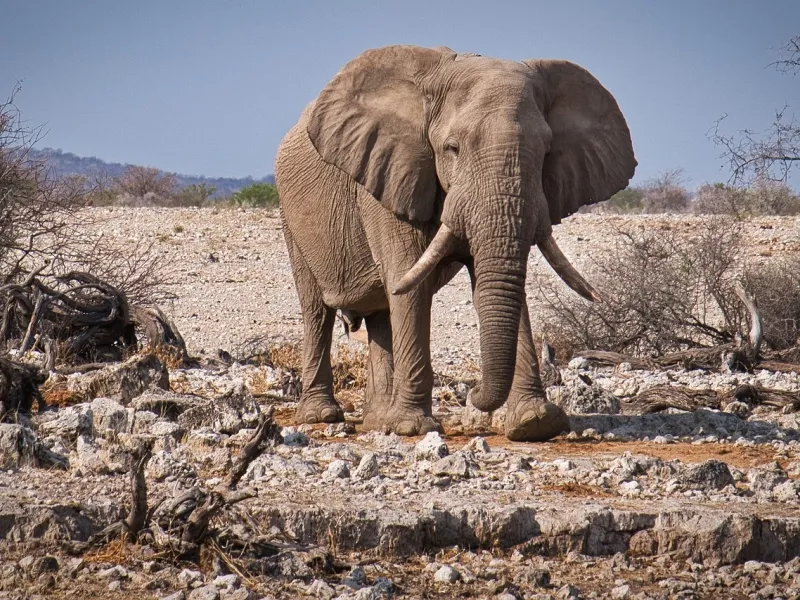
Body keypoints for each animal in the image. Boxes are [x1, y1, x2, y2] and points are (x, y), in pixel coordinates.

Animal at [274, 45, 636, 441]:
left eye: (546, 152)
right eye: (452, 148)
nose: (474, 395)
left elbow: (495, 284)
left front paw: (536, 423)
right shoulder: (391, 175)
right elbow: (409, 284)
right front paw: (413, 427)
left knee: (382, 314)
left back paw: (377, 422)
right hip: (291, 217)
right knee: (317, 311)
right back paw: (322, 416)